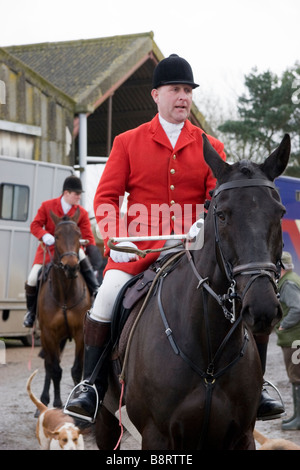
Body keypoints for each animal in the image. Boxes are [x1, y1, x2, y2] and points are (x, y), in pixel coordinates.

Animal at [36, 210, 90, 412]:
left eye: (78, 235)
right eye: (57, 236)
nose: (71, 266)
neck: (65, 294)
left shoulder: (80, 334)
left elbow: (76, 370)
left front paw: (75, 400)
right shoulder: (49, 334)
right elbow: (55, 370)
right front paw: (58, 403)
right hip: (47, 339)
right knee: (49, 366)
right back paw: (43, 402)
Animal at [95, 134, 290, 450]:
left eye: (280, 213)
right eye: (221, 215)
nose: (261, 306)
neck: (209, 350)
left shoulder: (242, 436)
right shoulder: (157, 436)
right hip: (106, 422)